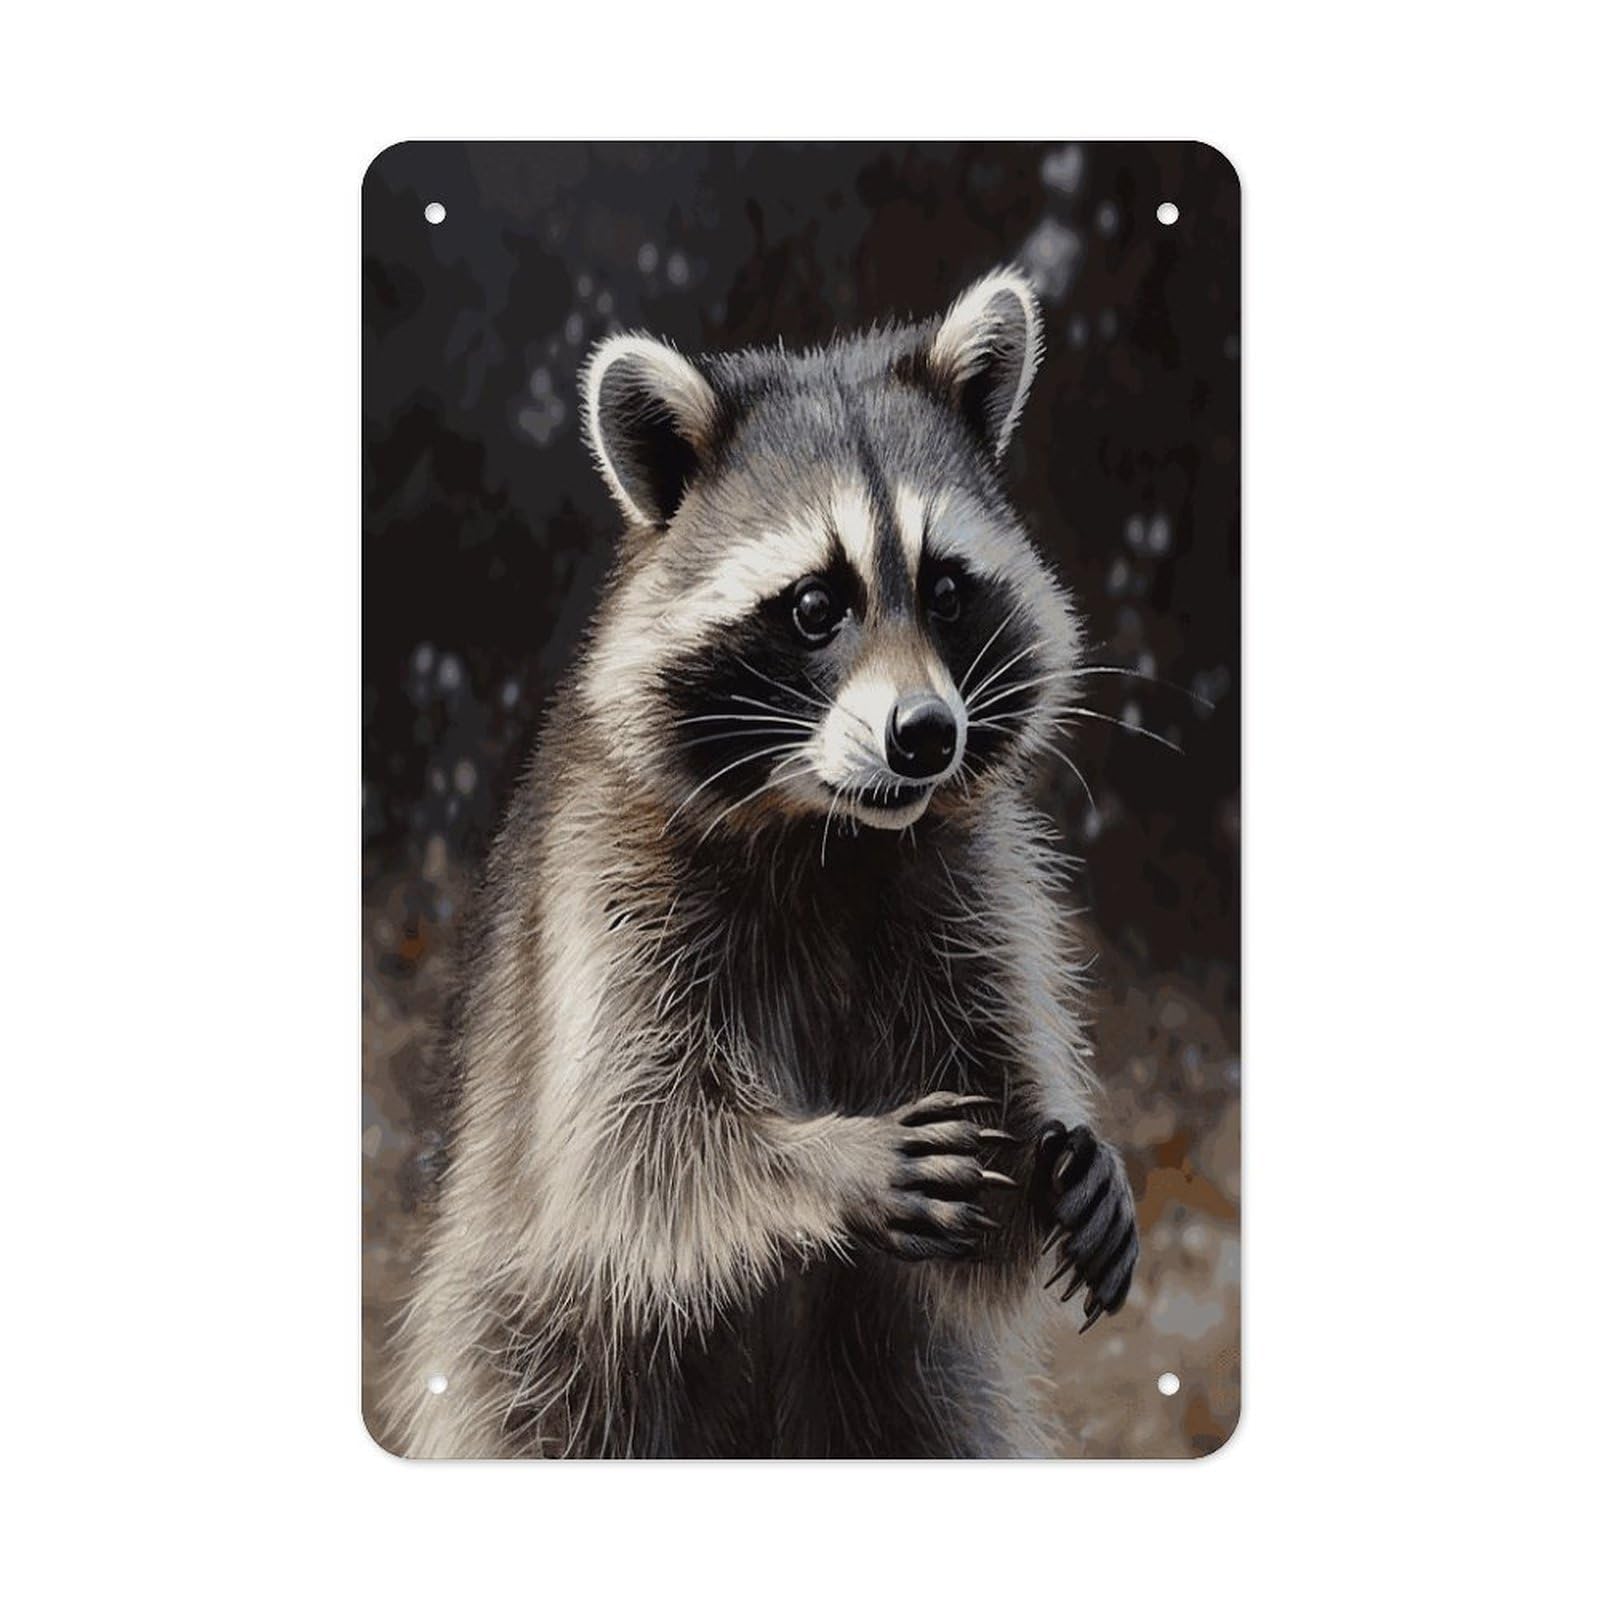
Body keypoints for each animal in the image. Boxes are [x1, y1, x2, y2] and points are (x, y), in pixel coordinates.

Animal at [382, 269, 1140, 1459]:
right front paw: (830, 1161)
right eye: (816, 606)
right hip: (534, 1362)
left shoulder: (965, 882)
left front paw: (1064, 1165)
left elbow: (990, 1175)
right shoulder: (604, 882)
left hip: (903, 1389)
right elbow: (624, 1154)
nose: (927, 735)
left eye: (947, 590)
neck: (828, 835)